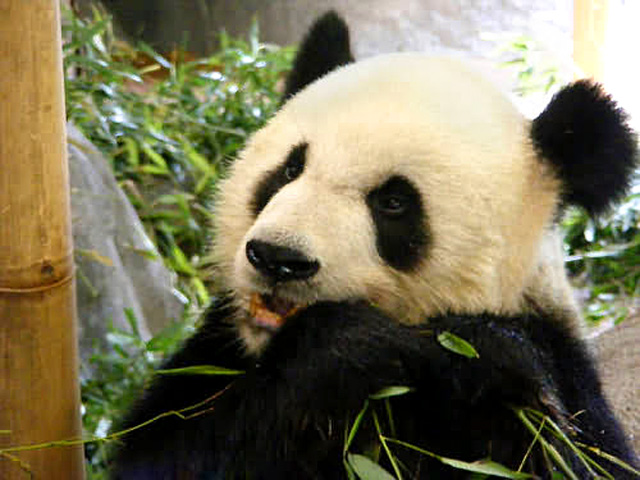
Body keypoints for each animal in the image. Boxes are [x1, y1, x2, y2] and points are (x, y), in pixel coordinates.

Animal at [112, 11, 636, 480]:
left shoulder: (559, 371)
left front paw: (482, 353)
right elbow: (165, 453)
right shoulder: (218, 354)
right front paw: (344, 346)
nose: (279, 259)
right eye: (289, 168)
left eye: (394, 202)